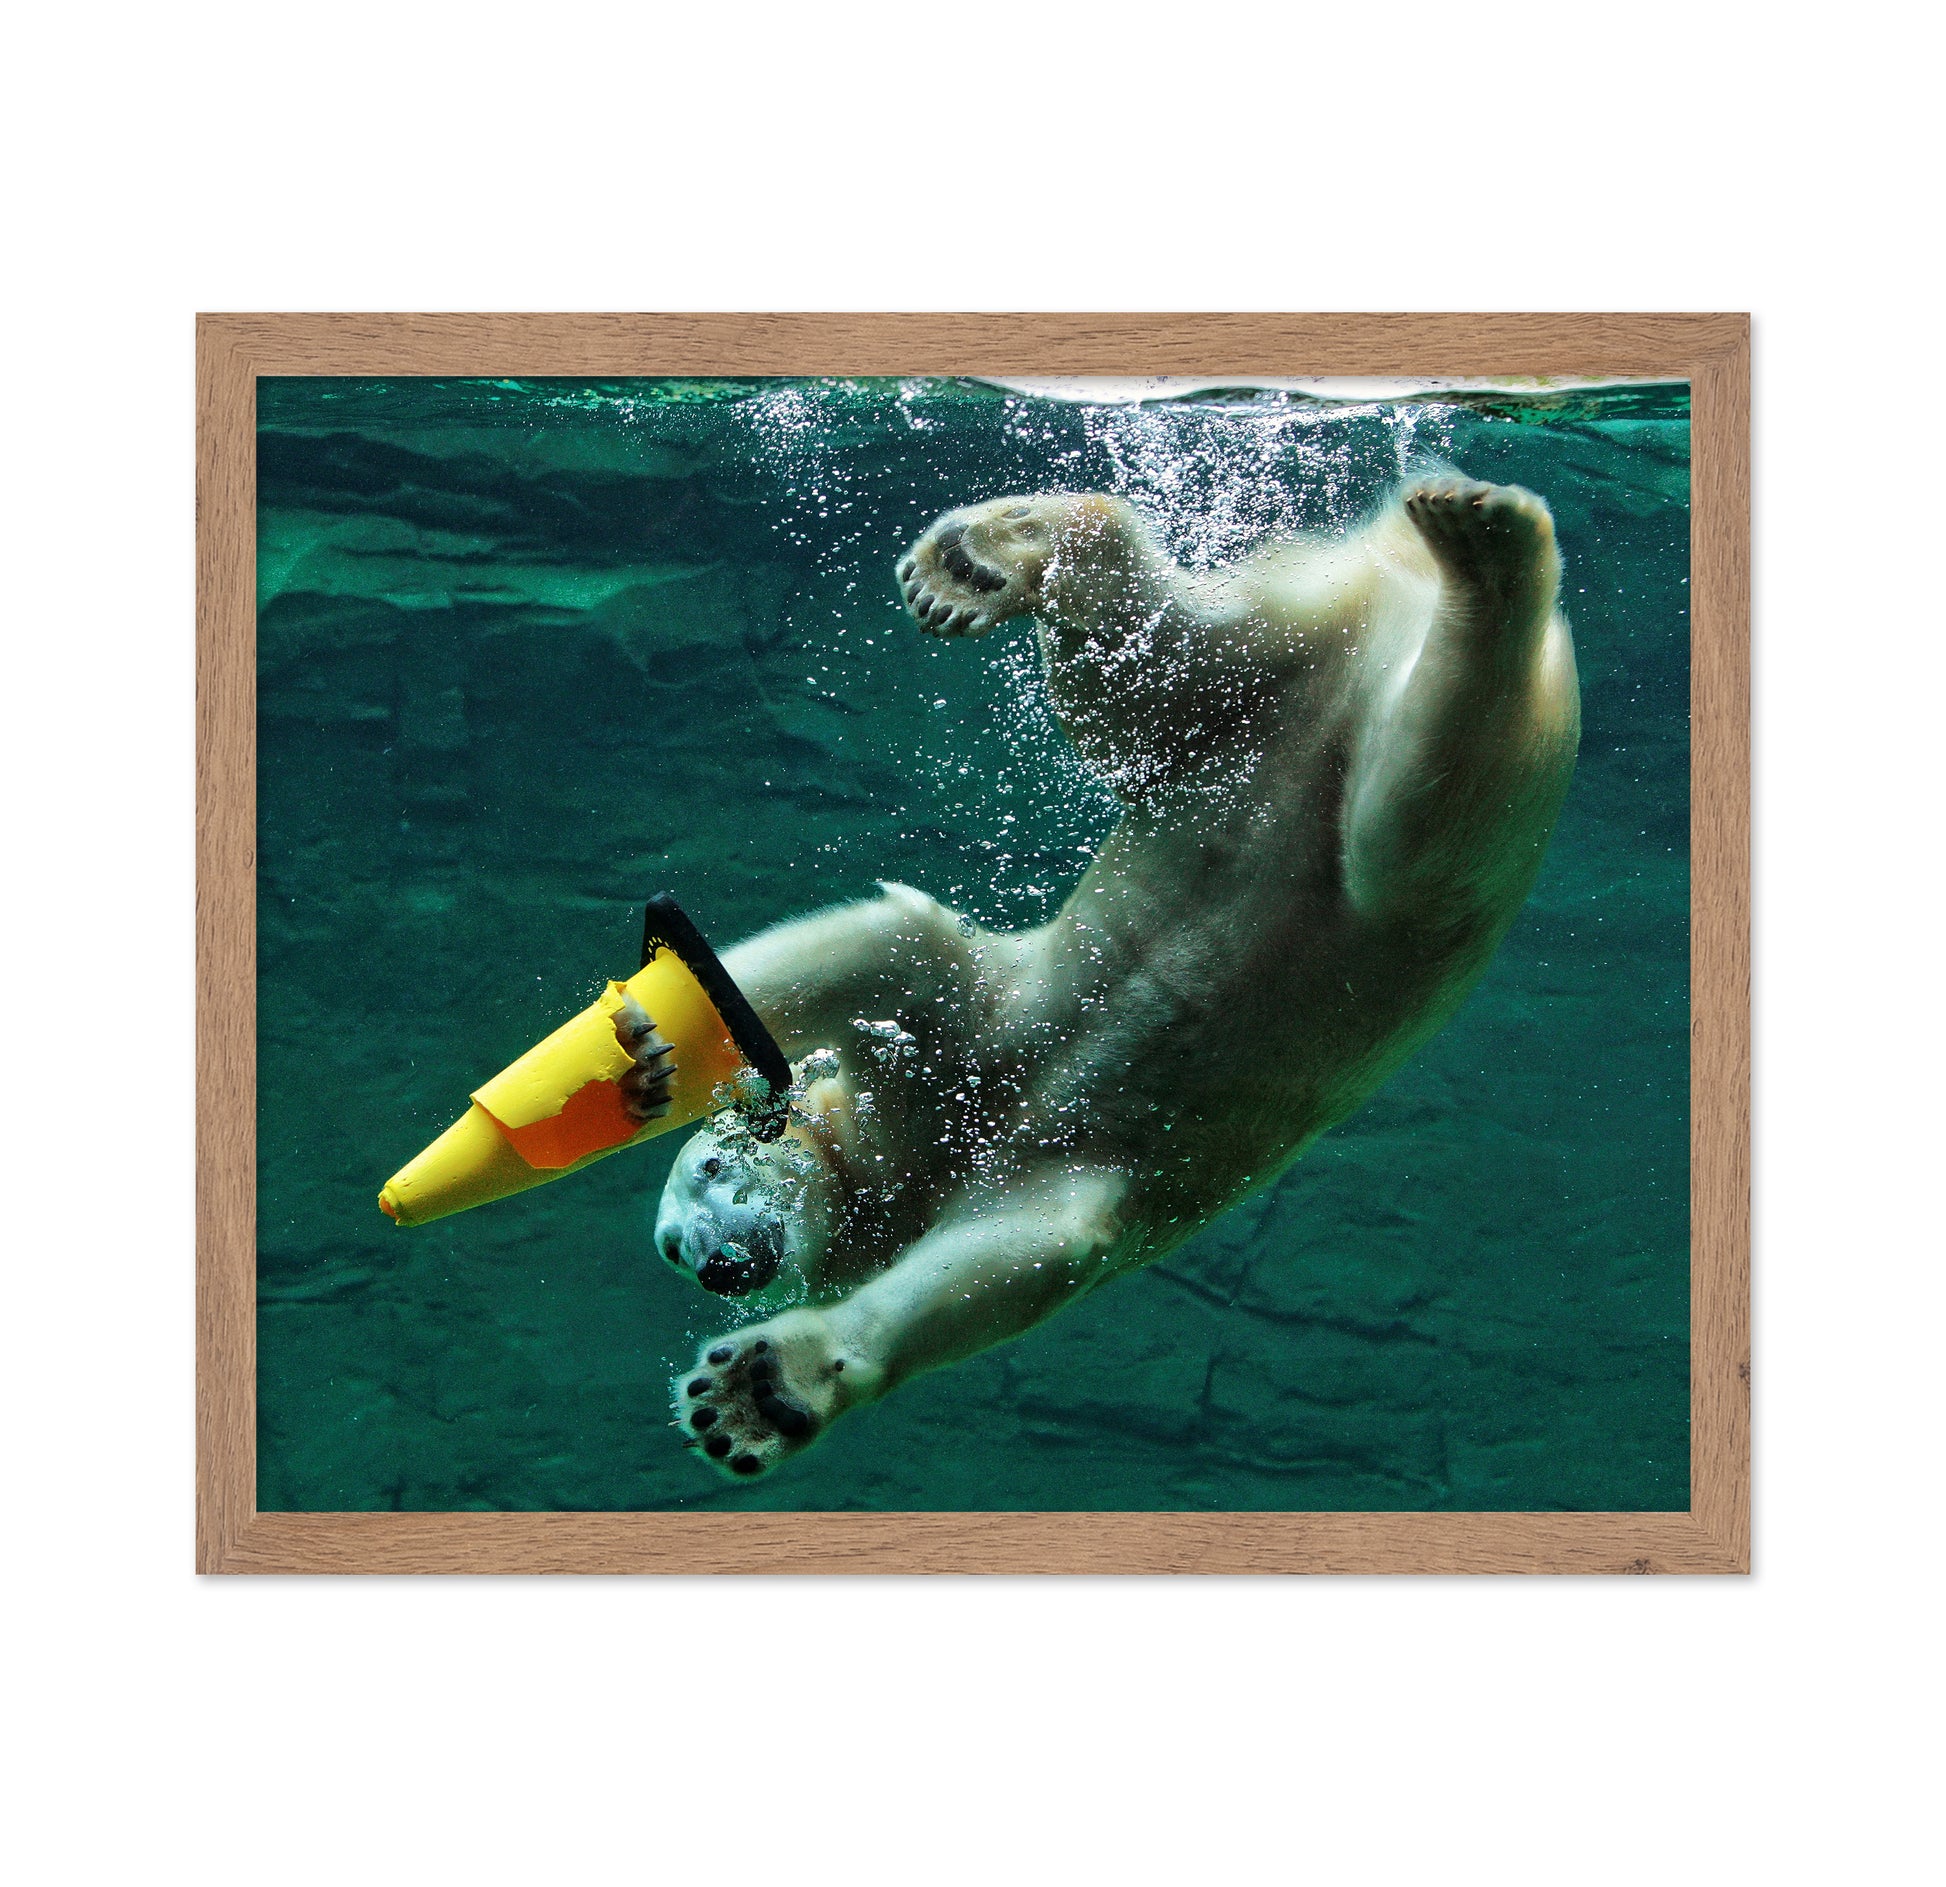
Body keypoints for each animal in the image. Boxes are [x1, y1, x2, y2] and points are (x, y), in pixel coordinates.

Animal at [640, 475, 1581, 1478]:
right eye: (674, 1251)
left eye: (709, 1170)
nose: (710, 1261)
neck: (904, 1158)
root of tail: (1383, 599)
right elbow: (1038, 1239)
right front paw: (755, 1394)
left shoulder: (946, 1037)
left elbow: (891, 948)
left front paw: (758, 1386)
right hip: (1258, 690)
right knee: (1192, 689)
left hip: (1299, 720)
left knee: (1397, 819)